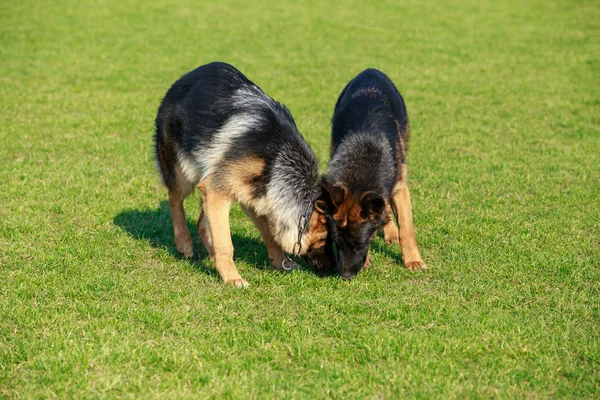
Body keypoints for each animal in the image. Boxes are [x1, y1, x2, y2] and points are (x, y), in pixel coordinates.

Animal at [154, 62, 332, 286]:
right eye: (328, 242)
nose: (338, 273)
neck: (279, 158)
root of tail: (183, 79)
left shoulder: (253, 195)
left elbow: (269, 234)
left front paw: (280, 262)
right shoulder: (218, 189)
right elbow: (225, 244)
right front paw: (233, 278)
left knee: (202, 224)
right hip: (183, 174)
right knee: (175, 200)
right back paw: (184, 243)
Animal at [318, 69, 426, 280]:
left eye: (361, 243)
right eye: (336, 242)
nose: (344, 275)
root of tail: (370, 70)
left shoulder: (400, 187)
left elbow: (407, 228)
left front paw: (413, 261)